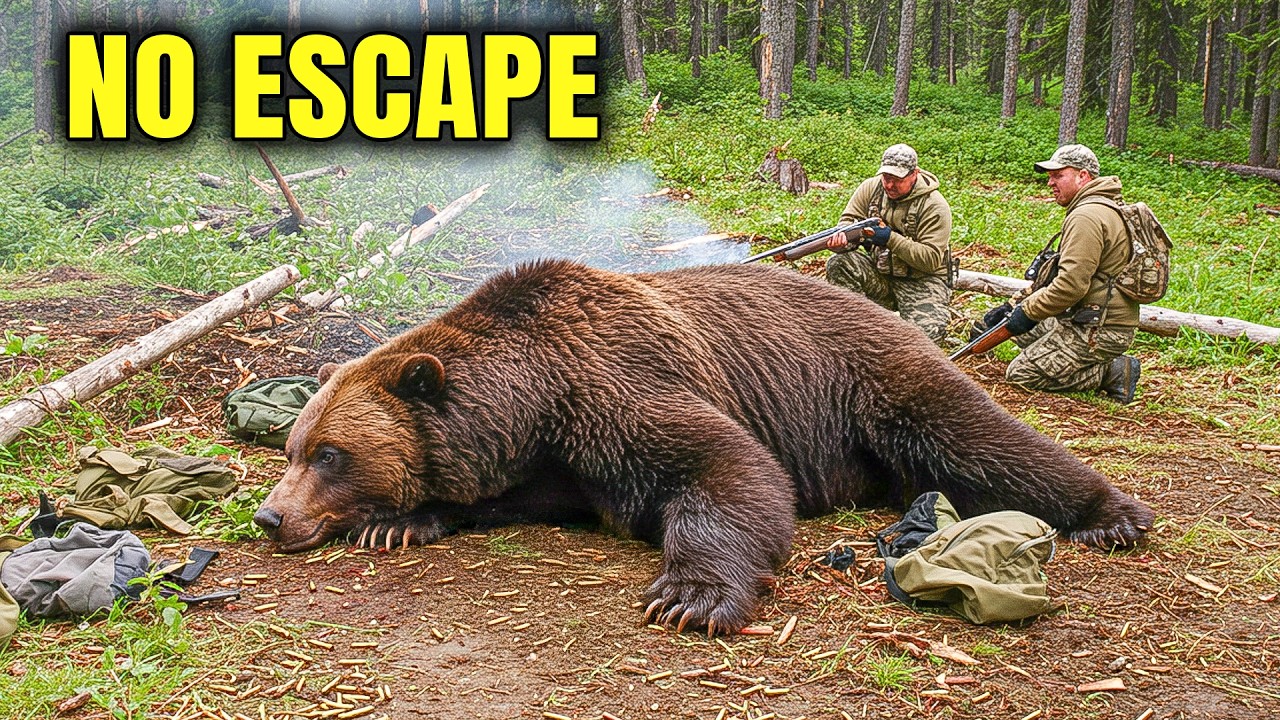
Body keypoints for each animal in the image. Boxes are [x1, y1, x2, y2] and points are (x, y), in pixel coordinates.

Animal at [253, 259, 1153, 635]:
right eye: (296, 448)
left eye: (328, 454)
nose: (269, 516)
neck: (533, 396)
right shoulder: (550, 461)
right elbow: (505, 496)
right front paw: (398, 522)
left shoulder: (615, 385)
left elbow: (726, 466)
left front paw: (688, 595)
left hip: (869, 382)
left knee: (980, 437)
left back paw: (1113, 513)